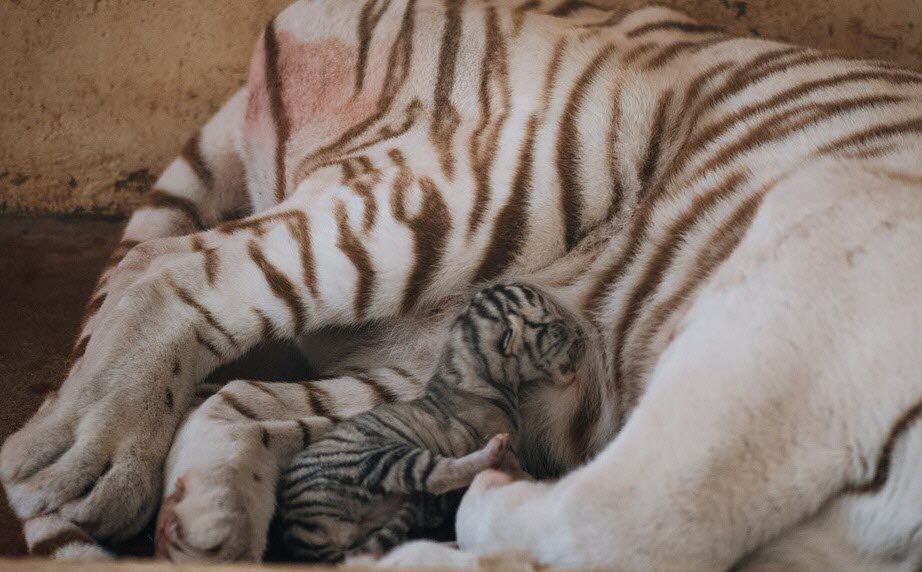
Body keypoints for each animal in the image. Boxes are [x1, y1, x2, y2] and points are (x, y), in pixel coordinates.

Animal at [2, 0, 921, 568]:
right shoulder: (831, 243)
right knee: (170, 270)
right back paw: (85, 465)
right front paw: (490, 506)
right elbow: (636, 517)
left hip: (432, 362)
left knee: (238, 401)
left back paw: (206, 523)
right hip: (473, 188)